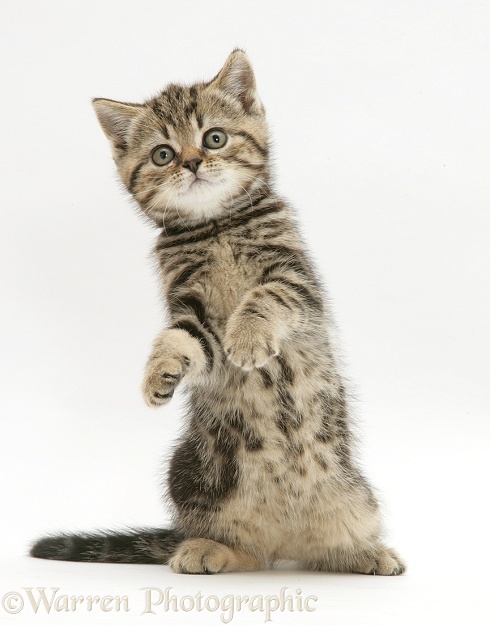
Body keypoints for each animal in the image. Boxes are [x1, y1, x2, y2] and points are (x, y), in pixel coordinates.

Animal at [31, 51, 406, 572]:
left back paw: (364, 553)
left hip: (356, 497)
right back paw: (209, 548)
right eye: (162, 154)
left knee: (327, 545)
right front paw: (160, 373)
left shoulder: (297, 281)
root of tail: (285, 541)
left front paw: (248, 338)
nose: (191, 162)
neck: (215, 226)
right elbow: (181, 339)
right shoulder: (192, 309)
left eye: (214, 137)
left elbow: (265, 298)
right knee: (243, 546)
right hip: (189, 473)